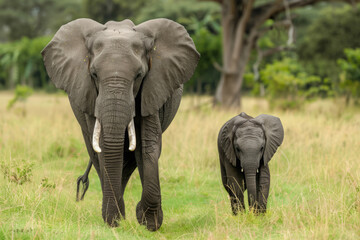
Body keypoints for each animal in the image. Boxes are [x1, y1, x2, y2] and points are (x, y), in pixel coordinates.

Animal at [43, 17, 200, 230]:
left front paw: (148, 222)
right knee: (97, 154)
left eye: (139, 75)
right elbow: (103, 148)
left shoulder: (153, 88)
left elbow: (148, 146)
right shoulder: (90, 96)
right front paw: (115, 220)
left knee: (131, 160)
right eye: (94, 75)